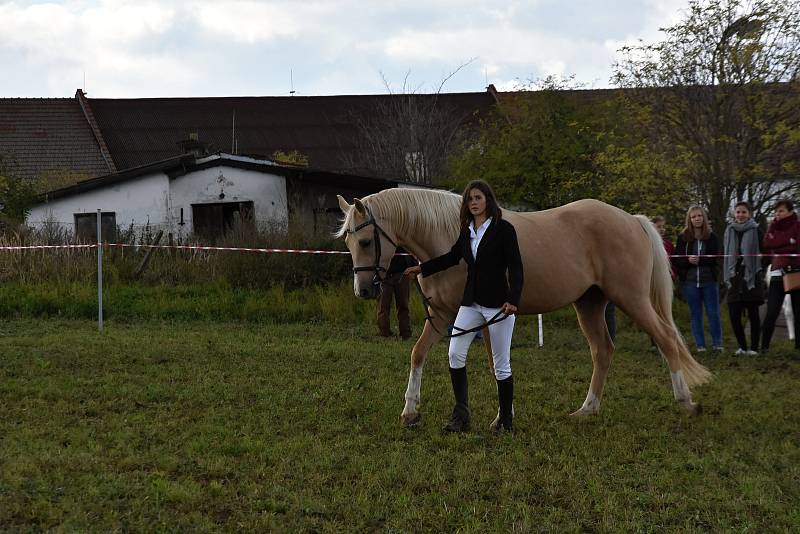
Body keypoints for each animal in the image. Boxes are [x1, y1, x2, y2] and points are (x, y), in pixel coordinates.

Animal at [334, 188, 708, 428]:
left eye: (365, 241)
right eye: (348, 242)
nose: (364, 289)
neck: (446, 239)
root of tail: (632, 220)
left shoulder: (478, 315)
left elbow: (492, 363)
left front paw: (502, 416)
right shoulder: (443, 315)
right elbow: (418, 354)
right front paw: (411, 411)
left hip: (632, 298)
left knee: (667, 341)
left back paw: (686, 403)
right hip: (590, 303)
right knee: (603, 351)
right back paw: (587, 410)